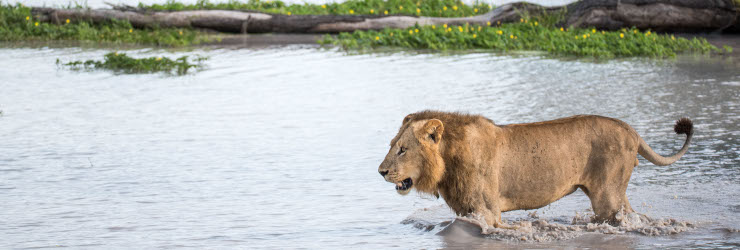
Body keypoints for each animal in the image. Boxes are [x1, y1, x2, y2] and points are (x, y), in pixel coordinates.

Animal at [376, 110, 692, 228]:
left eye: (402, 149)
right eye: (392, 145)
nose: (381, 172)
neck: (447, 163)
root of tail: (631, 129)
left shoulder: (487, 211)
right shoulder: (467, 209)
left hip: (606, 197)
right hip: (616, 193)